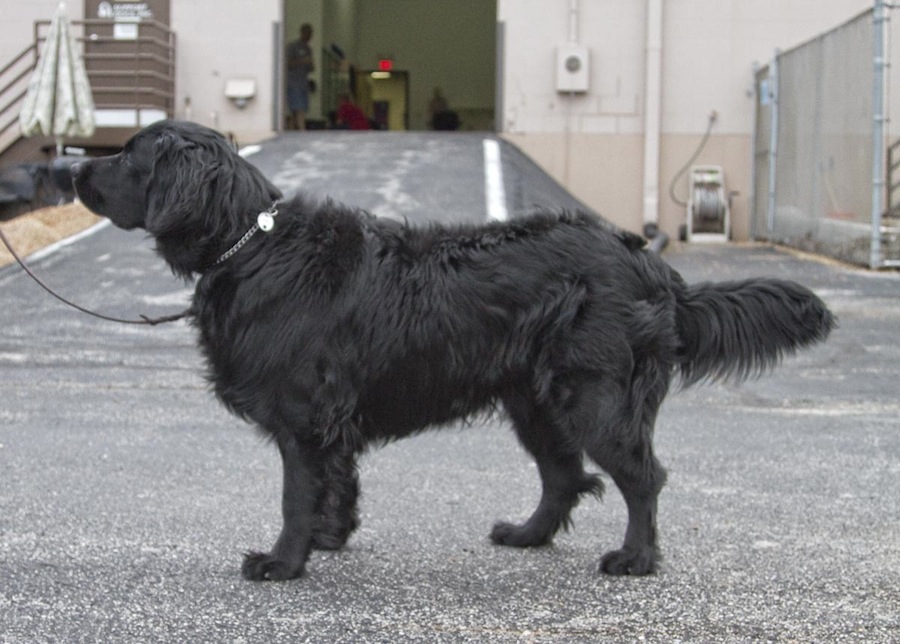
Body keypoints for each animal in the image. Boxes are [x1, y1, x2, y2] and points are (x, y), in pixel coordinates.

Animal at [72, 119, 836, 580]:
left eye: (130, 154)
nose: (71, 171)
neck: (252, 244)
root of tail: (648, 262)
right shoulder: (332, 422)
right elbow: (336, 487)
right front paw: (329, 540)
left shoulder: (304, 417)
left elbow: (295, 495)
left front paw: (284, 563)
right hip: (537, 401)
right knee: (565, 477)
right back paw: (527, 535)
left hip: (594, 396)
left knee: (642, 477)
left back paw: (635, 558)